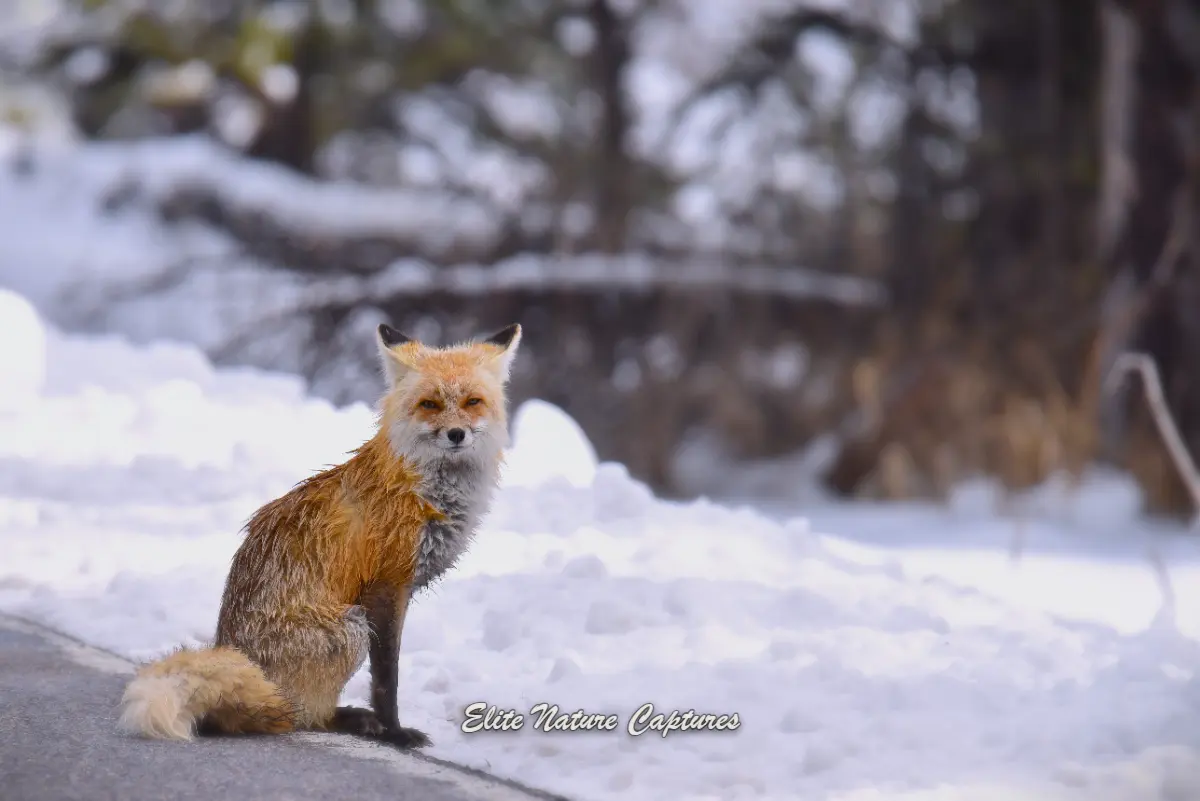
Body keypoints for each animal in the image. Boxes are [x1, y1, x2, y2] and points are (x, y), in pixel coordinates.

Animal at [116, 322, 523, 749]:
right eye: (430, 404)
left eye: (473, 401)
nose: (456, 434)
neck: (423, 491)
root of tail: (236, 650)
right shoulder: (386, 587)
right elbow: (387, 680)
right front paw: (395, 732)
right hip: (351, 627)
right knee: (300, 715)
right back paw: (349, 720)